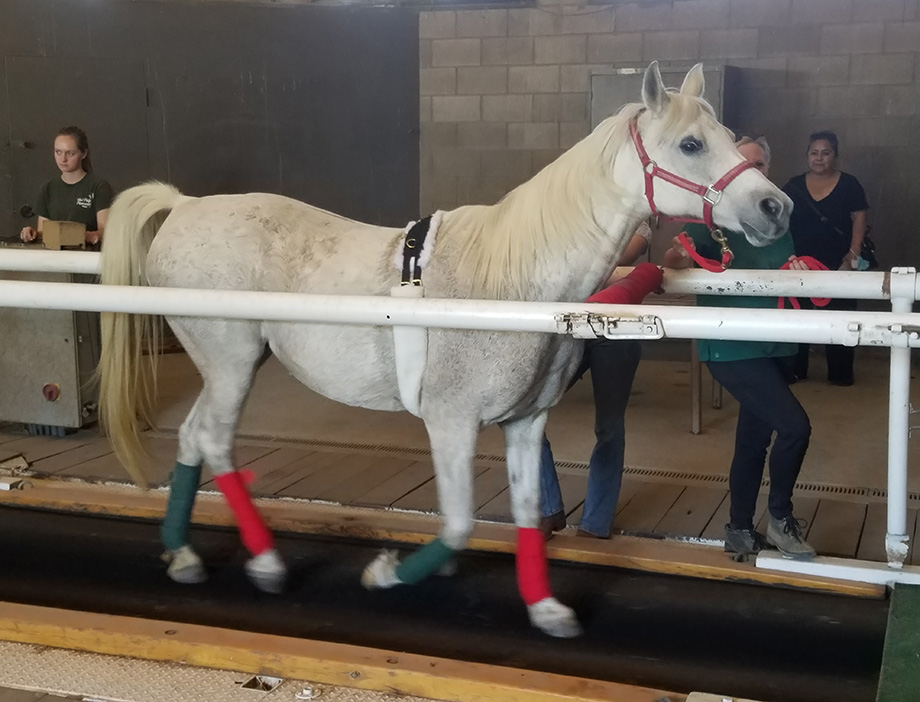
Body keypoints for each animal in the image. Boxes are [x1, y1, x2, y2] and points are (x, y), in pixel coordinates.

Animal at [97, 62, 792, 638]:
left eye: (727, 133)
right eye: (691, 144)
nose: (775, 206)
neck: (512, 282)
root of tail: (183, 207)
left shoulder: (525, 423)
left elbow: (528, 513)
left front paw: (546, 609)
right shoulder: (451, 421)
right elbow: (458, 524)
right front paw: (385, 574)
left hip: (225, 368)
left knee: (194, 436)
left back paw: (184, 555)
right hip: (231, 363)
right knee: (214, 440)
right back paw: (266, 563)